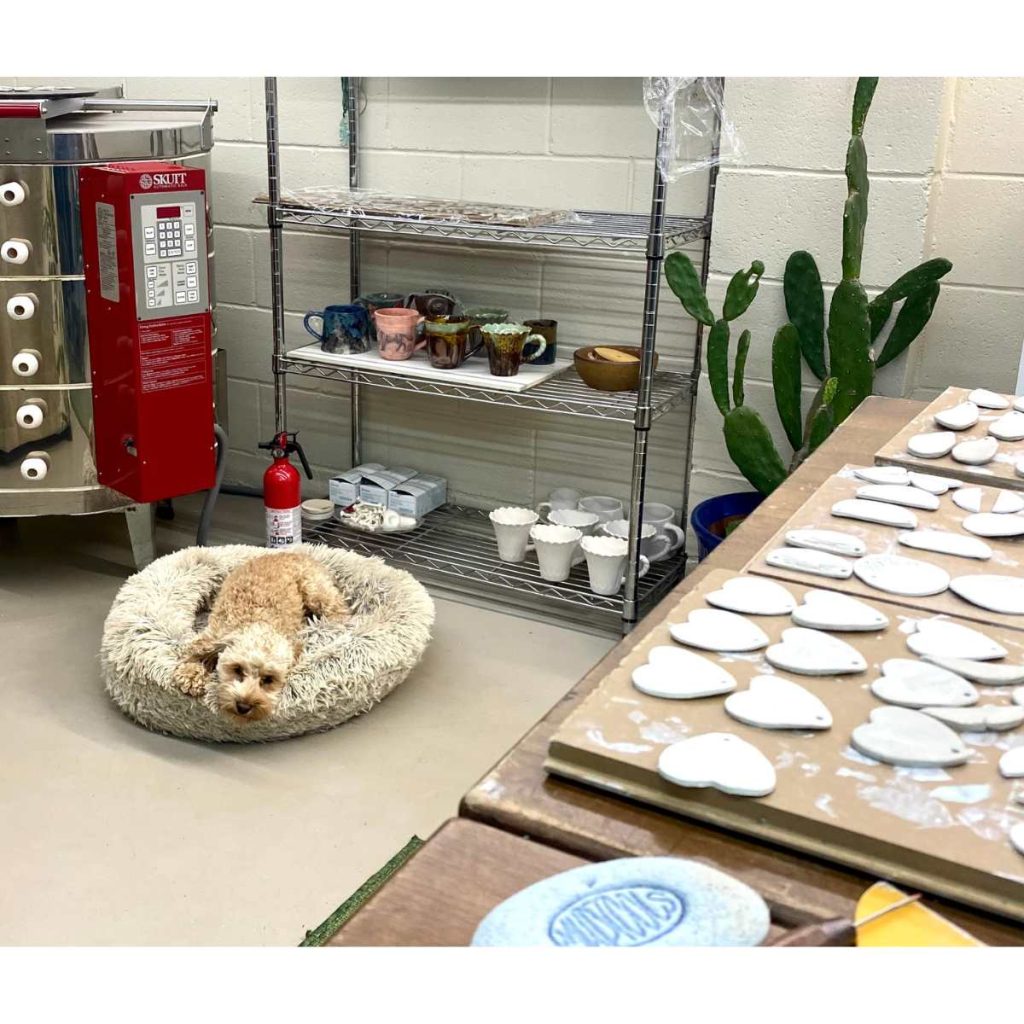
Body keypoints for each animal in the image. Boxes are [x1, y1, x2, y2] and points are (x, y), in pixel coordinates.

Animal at [174, 552, 350, 720]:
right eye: (237, 669)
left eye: (268, 679)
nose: (243, 707)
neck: (257, 620)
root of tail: (298, 553)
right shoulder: (214, 633)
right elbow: (197, 651)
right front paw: (191, 674)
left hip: (316, 591)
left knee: (339, 610)